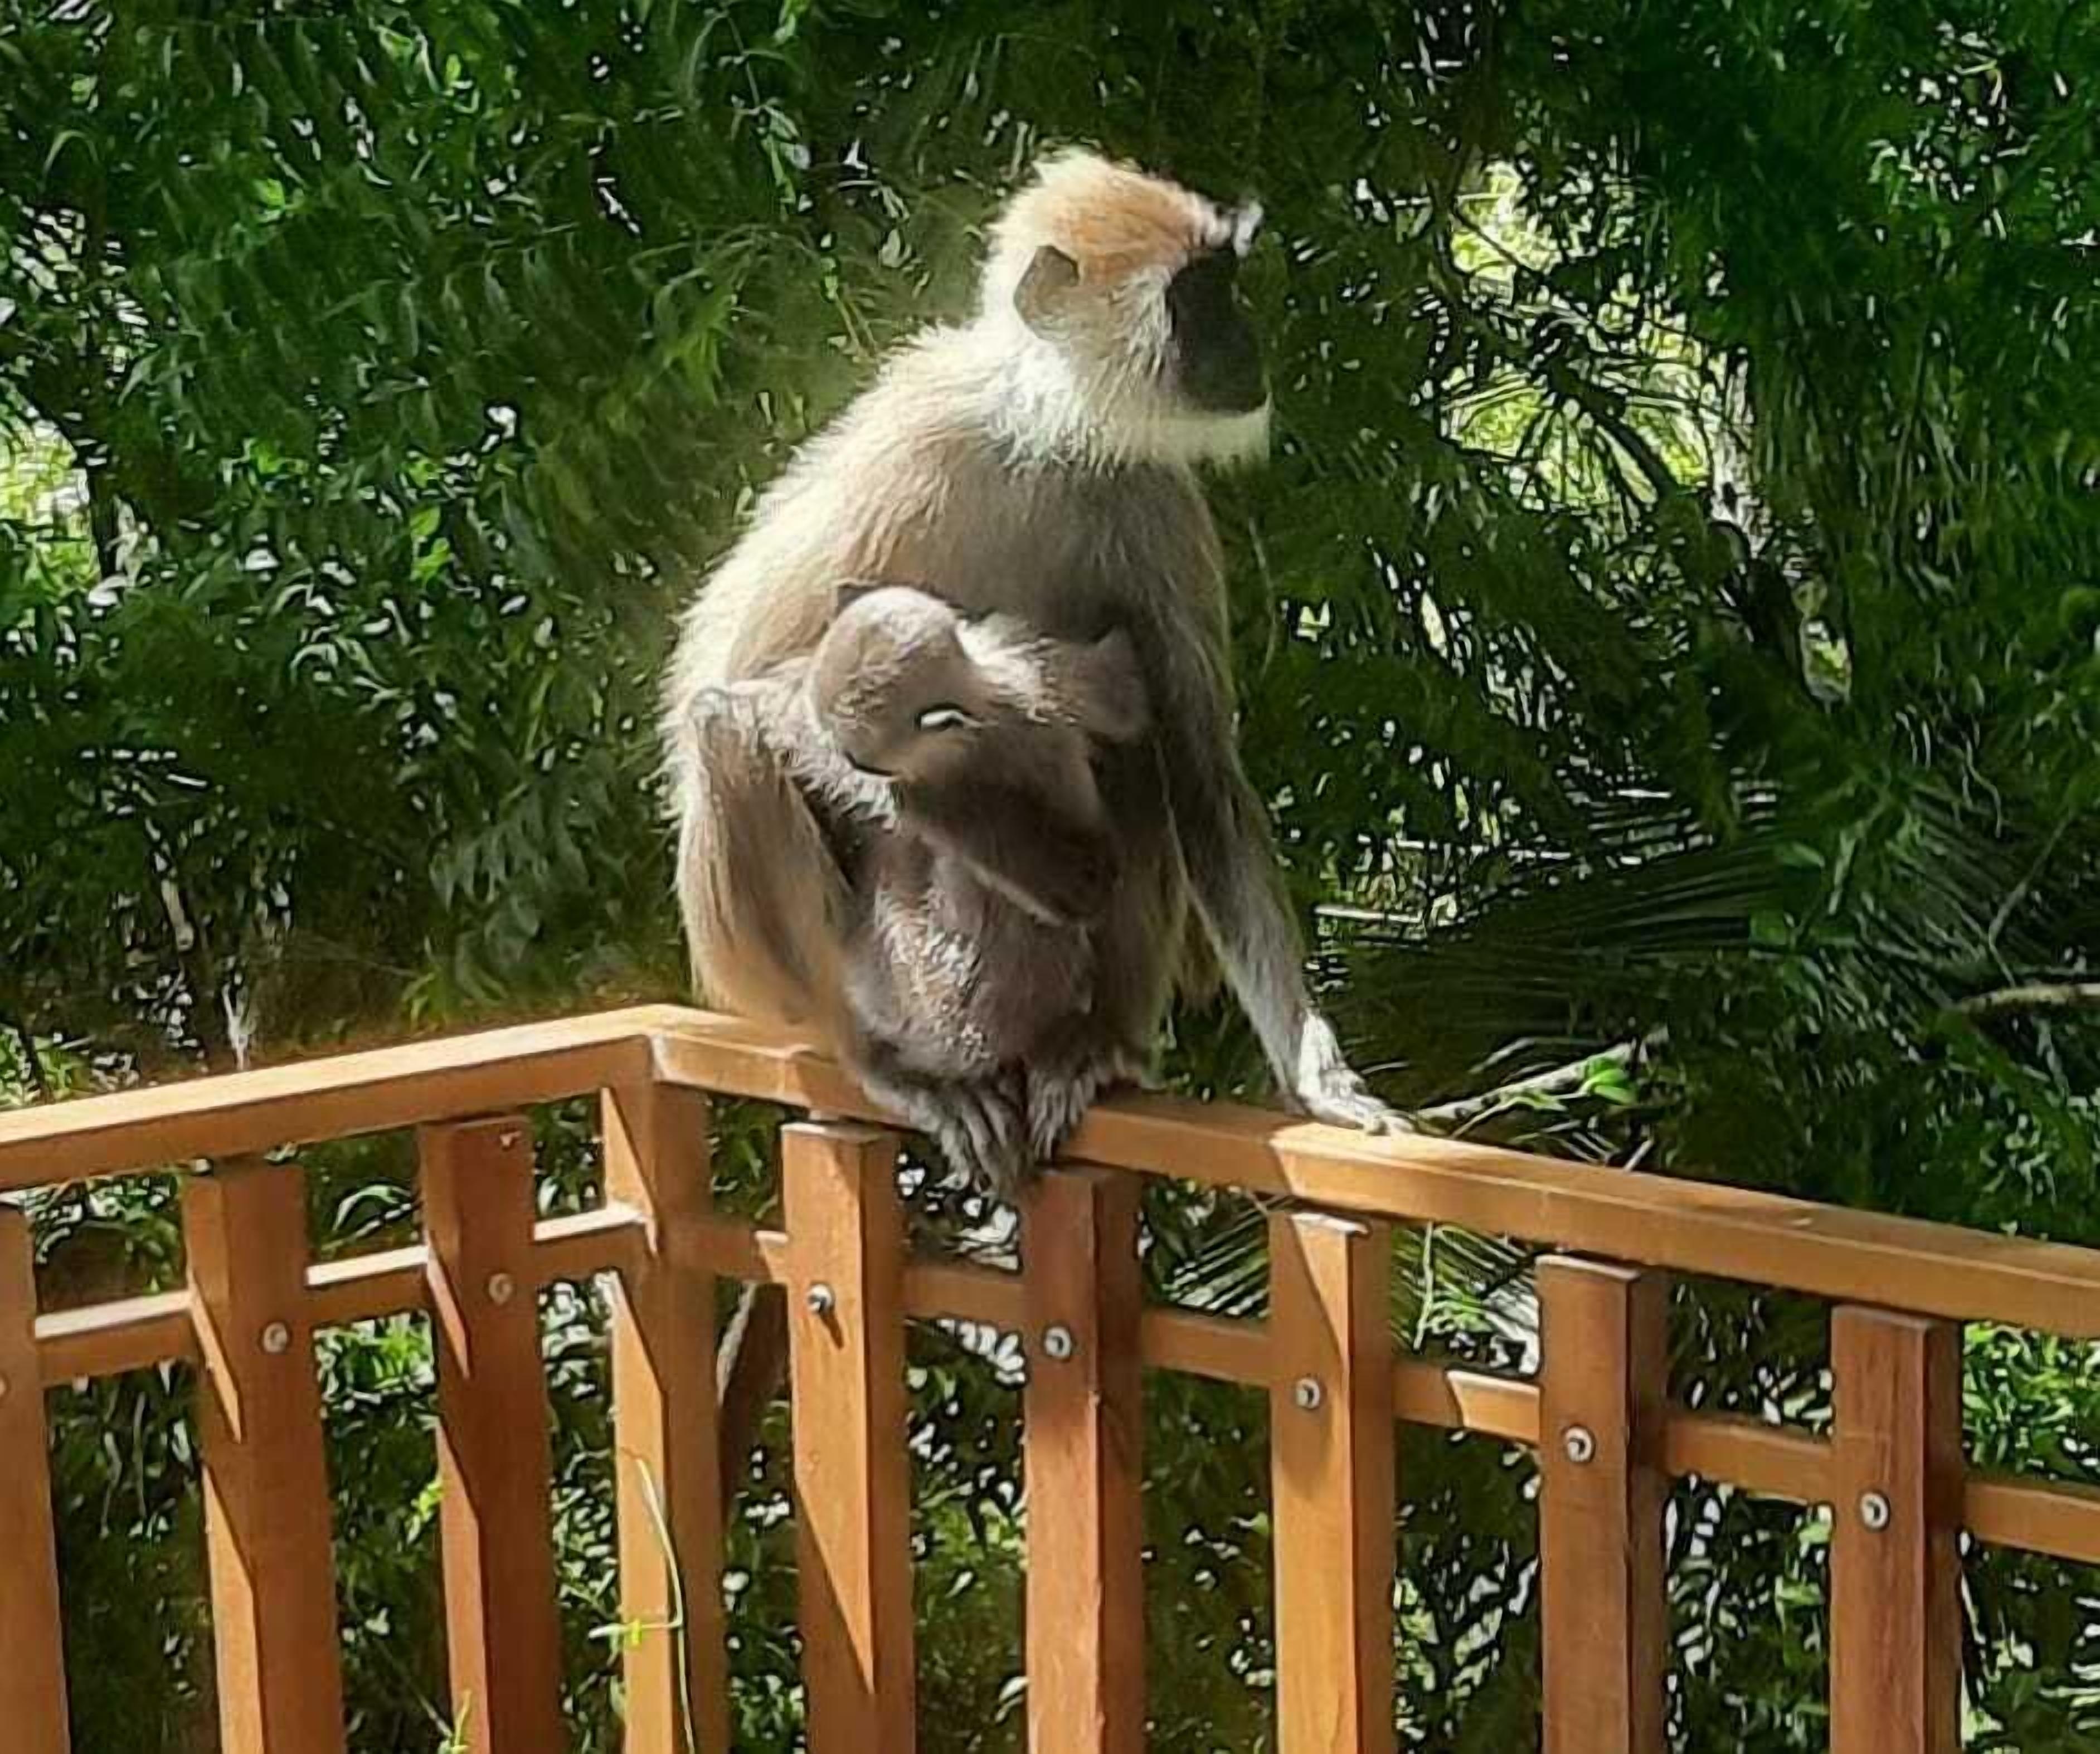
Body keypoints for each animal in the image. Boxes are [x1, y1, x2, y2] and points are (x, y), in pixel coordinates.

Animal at [692, 582, 1155, 1190]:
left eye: (862, 759)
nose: (852, 764)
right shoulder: (1022, 663)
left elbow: (1085, 879)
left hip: (914, 988)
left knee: (721, 726)